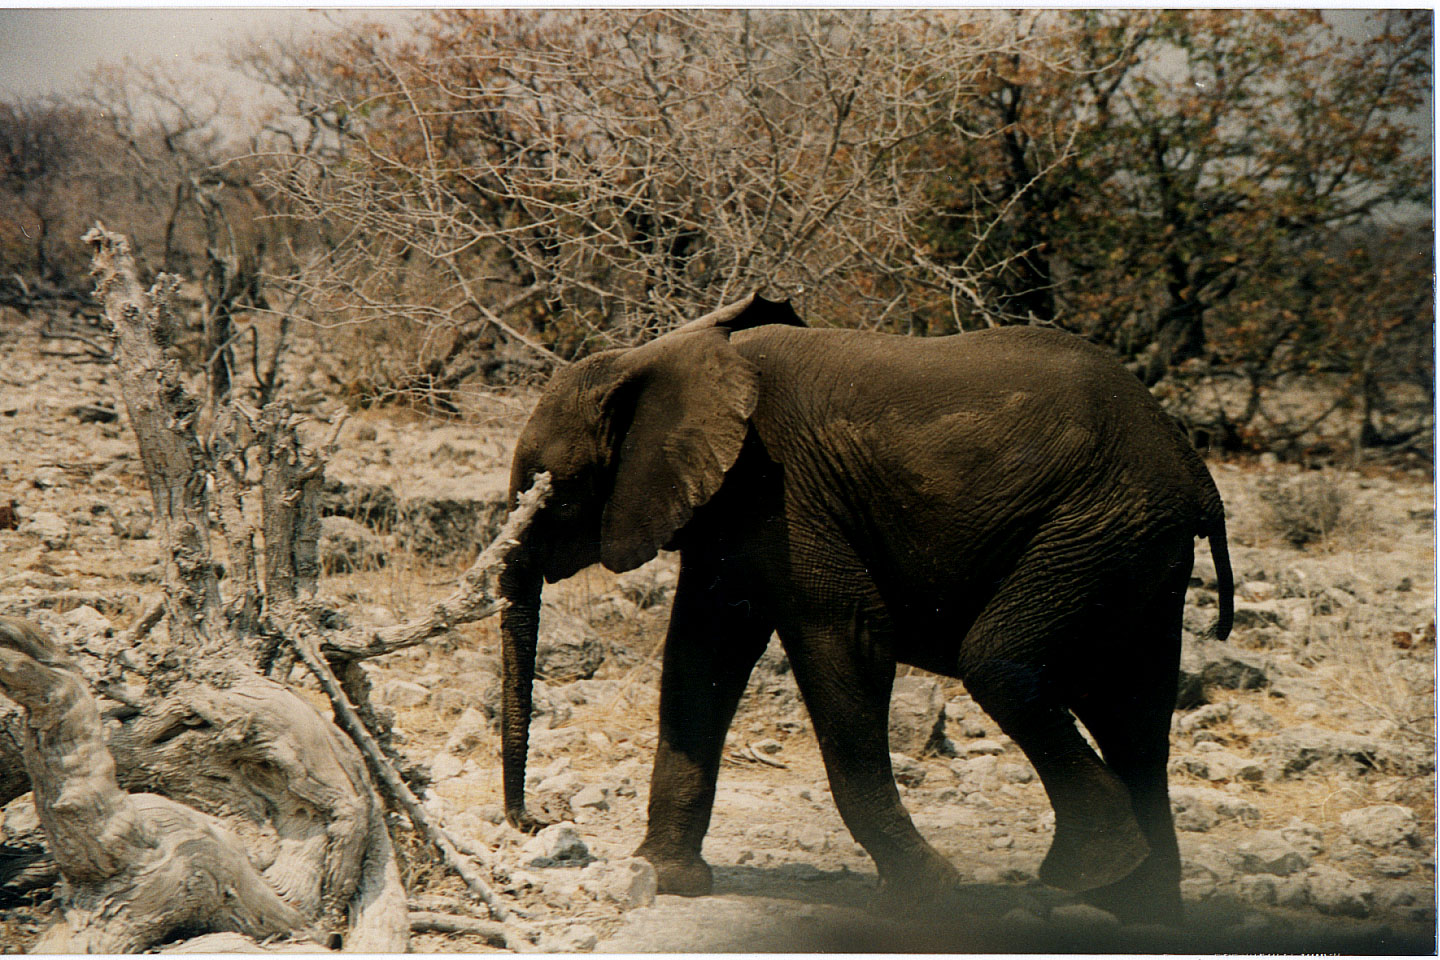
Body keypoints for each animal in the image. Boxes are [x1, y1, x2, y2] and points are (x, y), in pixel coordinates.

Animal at [498, 293, 1238, 921]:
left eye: (552, 493)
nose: (538, 821)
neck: (655, 356)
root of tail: (1195, 469)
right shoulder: (729, 512)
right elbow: (700, 656)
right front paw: (666, 879)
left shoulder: (785, 493)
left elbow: (843, 638)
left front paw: (925, 893)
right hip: (1135, 548)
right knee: (1134, 716)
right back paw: (1141, 911)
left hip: (1097, 530)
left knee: (1004, 666)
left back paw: (1093, 872)